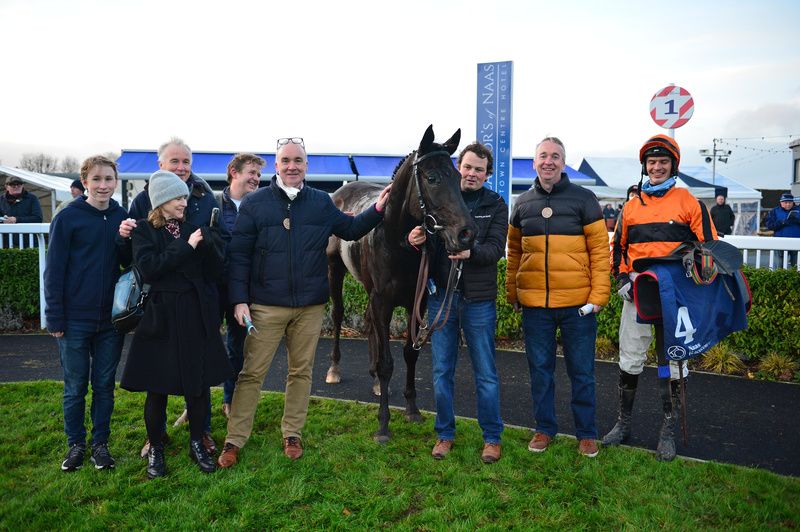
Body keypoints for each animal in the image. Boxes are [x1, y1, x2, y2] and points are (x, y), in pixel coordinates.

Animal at [324, 124, 476, 440]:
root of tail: (339, 192)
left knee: (368, 319)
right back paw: (334, 369)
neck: (396, 240)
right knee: (338, 313)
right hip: (334, 270)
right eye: (432, 178)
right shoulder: (383, 301)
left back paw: (374, 381)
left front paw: (412, 409)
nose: (467, 233)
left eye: (459, 177)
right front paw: (383, 424)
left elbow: (409, 354)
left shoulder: (414, 301)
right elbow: (387, 363)